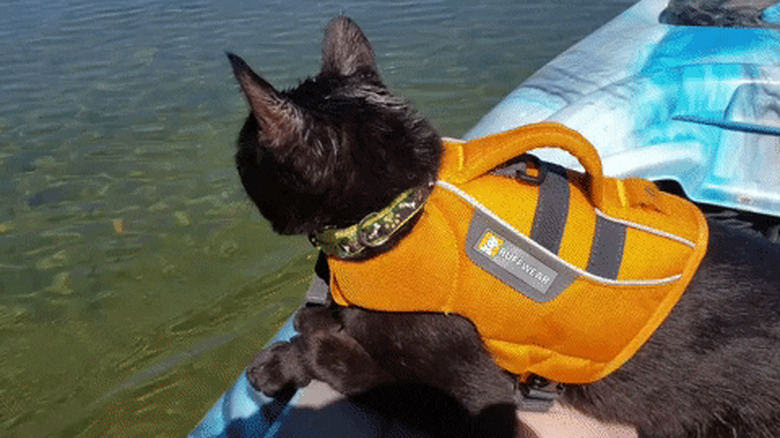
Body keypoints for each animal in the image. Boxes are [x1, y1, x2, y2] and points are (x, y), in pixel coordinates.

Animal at [227, 15, 780, 436]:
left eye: (244, 151)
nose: (234, 159)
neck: (403, 209)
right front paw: (318, 323)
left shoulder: (479, 401)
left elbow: (362, 371)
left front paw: (288, 360)